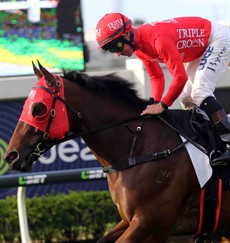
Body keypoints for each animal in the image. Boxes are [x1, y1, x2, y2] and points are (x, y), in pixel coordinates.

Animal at [3, 61, 230, 242]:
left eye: (38, 108)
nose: (11, 155)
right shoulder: (130, 220)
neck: (139, 146)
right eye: (26, 104)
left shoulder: (150, 224)